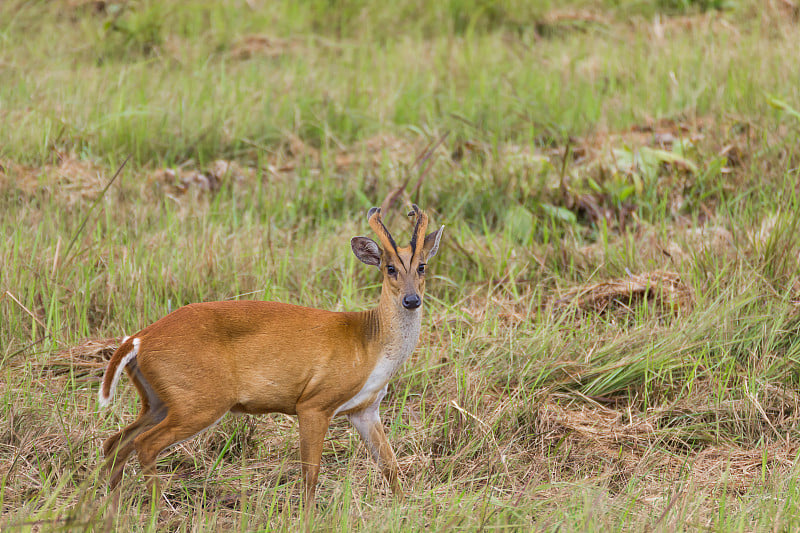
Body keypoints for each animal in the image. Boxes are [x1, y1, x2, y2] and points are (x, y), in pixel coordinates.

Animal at [97, 204, 444, 508]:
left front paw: (403, 509)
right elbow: (310, 472)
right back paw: (157, 509)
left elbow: (389, 465)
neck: (371, 343)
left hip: (160, 400)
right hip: (200, 399)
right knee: (144, 444)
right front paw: (307, 515)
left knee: (116, 442)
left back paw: (109, 507)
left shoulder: (365, 409)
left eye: (422, 266)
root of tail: (139, 339)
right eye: (390, 268)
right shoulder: (315, 402)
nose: (411, 300)